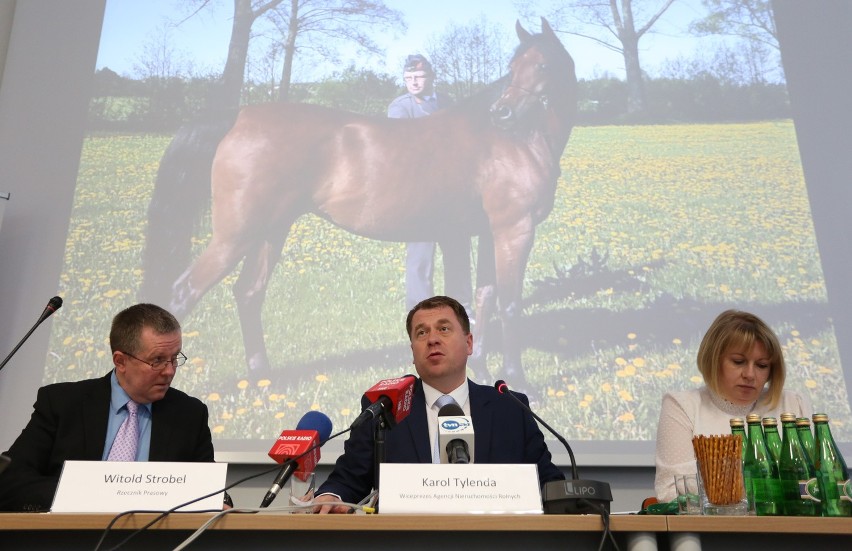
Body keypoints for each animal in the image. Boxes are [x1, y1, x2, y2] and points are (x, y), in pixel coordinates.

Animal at [140, 18, 580, 392]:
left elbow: (486, 300)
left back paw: (265, 378)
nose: (502, 112)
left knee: (248, 293)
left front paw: (485, 372)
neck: (510, 142)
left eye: (541, 64)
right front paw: (518, 381)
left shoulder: (489, 233)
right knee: (183, 293)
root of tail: (240, 116)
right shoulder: (514, 229)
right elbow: (509, 303)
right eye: (515, 65)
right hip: (235, 236)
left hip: (270, 231)